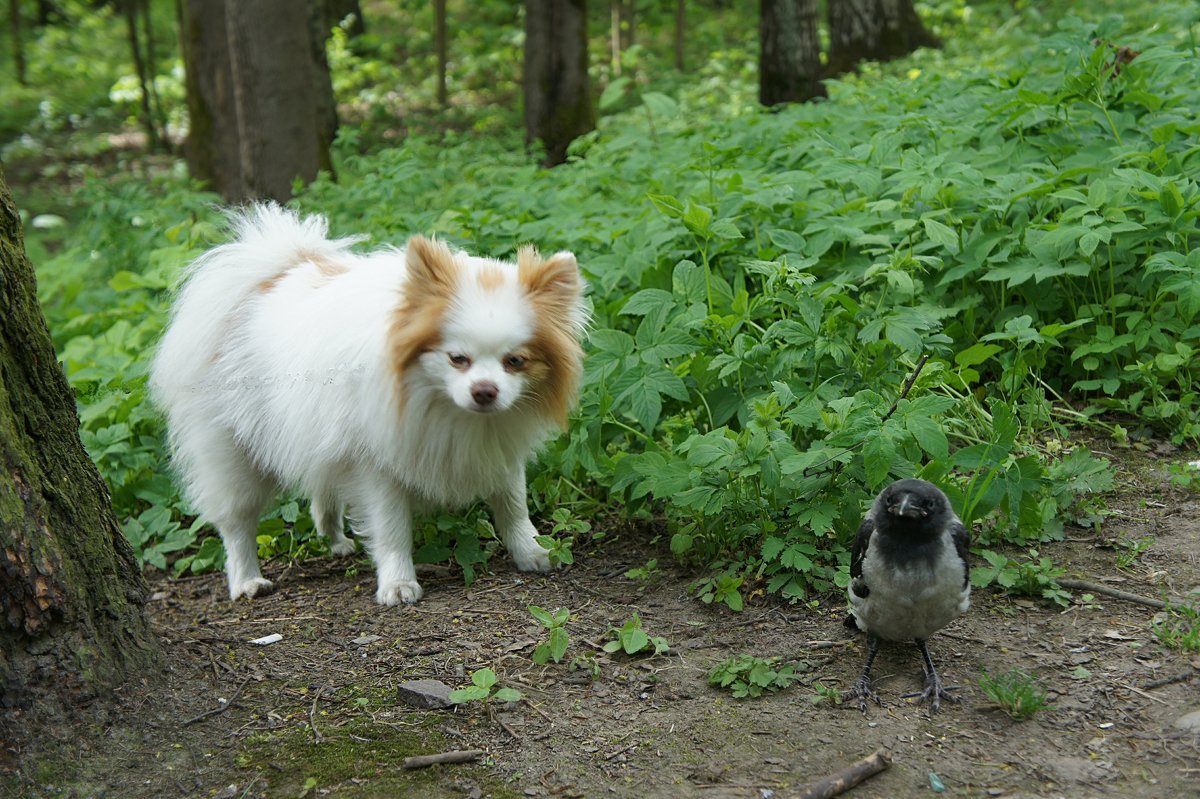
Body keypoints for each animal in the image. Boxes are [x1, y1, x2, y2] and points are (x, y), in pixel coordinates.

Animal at [152, 205, 583, 604]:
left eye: (516, 361)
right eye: (457, 358)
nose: (485, 391)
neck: (442, 407)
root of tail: (265, 276)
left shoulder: (498, 450)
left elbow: (513, 506)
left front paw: (532, 551)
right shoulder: (376, 464)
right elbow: (392, 529)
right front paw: (398, 584)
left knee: (320, 493)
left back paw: (335, 541)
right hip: (234, 454)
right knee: (237, 521)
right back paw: (247, 581)